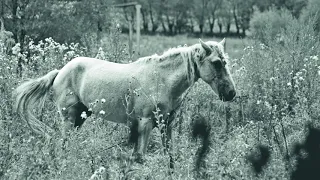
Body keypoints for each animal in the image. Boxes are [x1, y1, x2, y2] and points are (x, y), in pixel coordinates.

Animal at [14, 38, 235, 164]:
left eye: (225, 62)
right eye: (216, 63)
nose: (231, 93)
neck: (161, 80)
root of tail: (61, 71)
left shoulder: (167, 124)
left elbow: (169, 155)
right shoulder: (145, 124)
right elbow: (140, 158)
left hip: (80, 118)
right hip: (69, 118)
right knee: (63, 144)